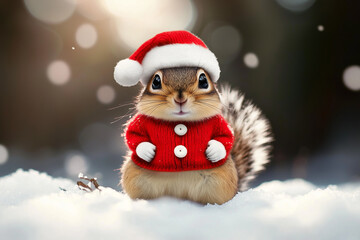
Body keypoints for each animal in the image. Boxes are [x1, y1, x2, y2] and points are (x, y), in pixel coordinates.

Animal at [114, 30, 272, 204]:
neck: (180, 121)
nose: (180, 99)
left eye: (203, 80)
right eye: (155, 81)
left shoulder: (219, 124)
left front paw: (214, 150)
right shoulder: (139, 122)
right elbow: (133, 135)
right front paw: (147, 150)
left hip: (220, 182)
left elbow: (225, 137)